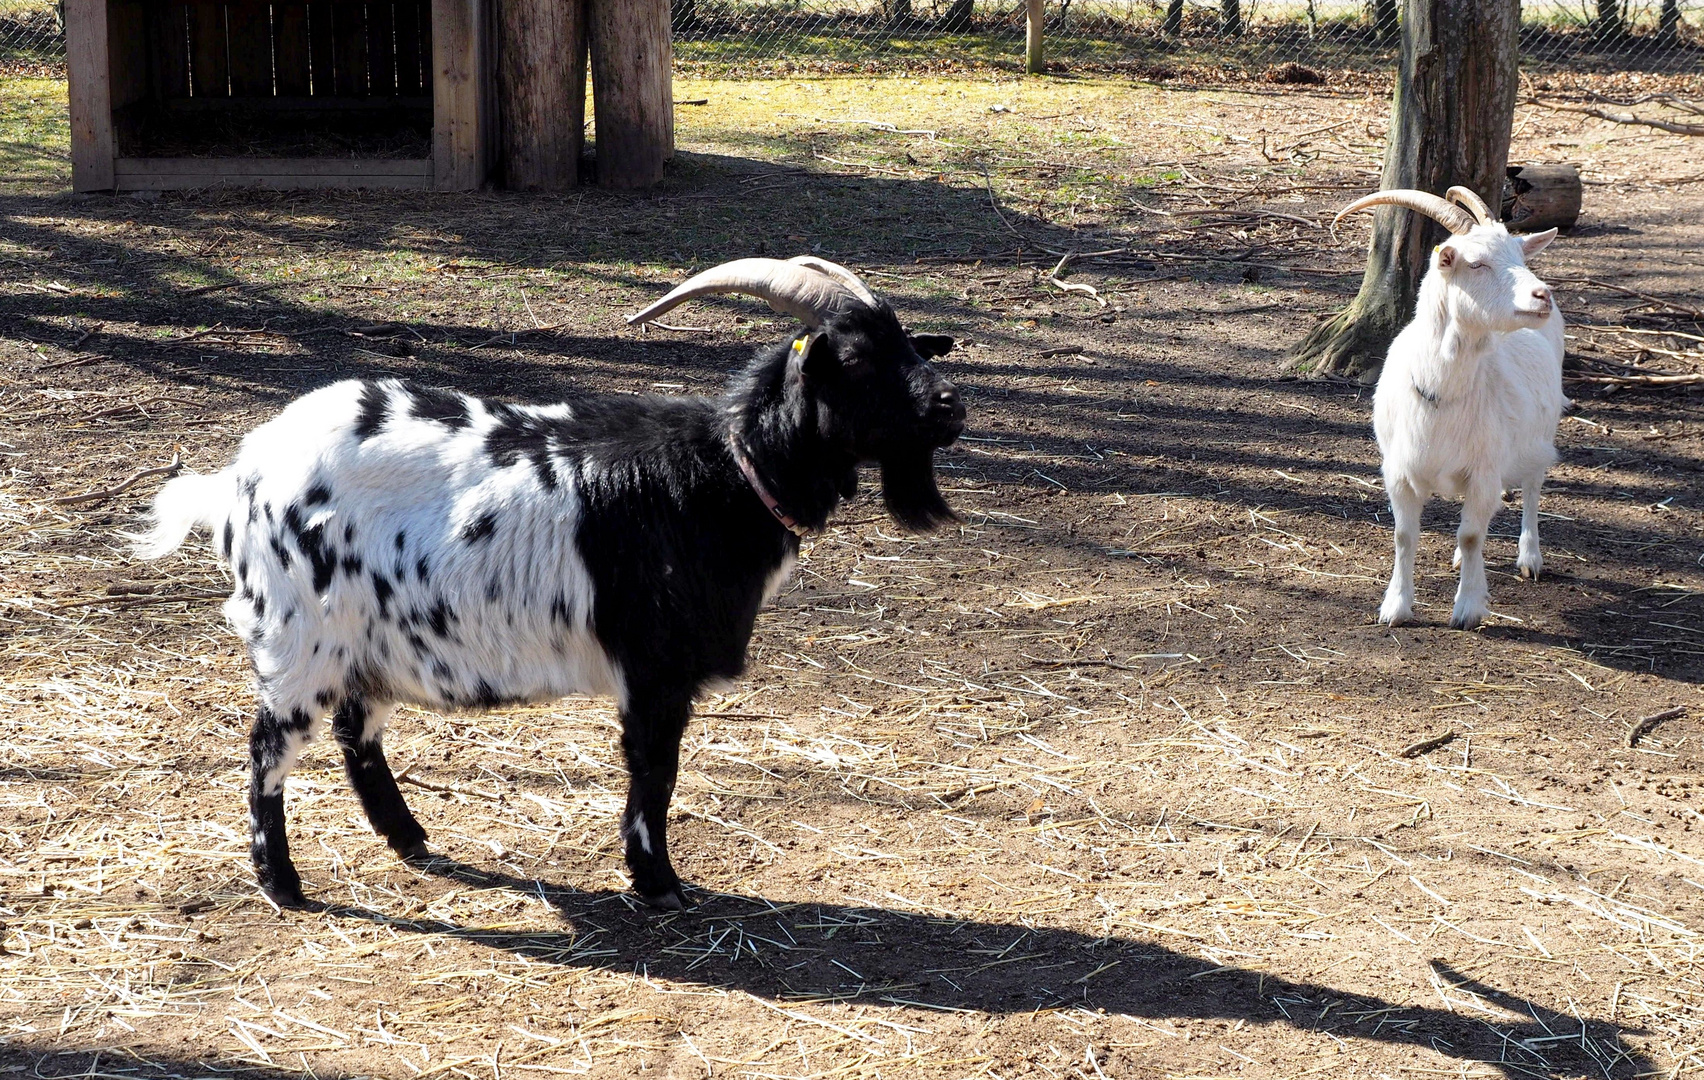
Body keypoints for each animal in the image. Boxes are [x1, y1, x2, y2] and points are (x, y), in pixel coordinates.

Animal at [139, 257, 967, 906]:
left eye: (907, 343)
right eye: (853, 360)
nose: (952, 405)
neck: (728, 473)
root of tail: (240, 478)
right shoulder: (656, 671)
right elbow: (654, 772)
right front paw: (658, 883)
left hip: (368, 641)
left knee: (355, 734)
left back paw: (410, 840)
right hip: (297, 640)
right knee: (267, 751)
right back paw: (282, 883)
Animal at [1335, 183, 1560, 623]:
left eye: (1519, 256)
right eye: (1475, 264)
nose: (1542, 295)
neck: (1441, 391)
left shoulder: (1485, 470)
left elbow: (1472, 535)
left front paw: (1469, 607)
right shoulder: (1399, 471)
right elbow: (1405, 535)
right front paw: (1395, 606)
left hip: (1540, 436)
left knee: (1532, 486)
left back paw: (1531, 557)